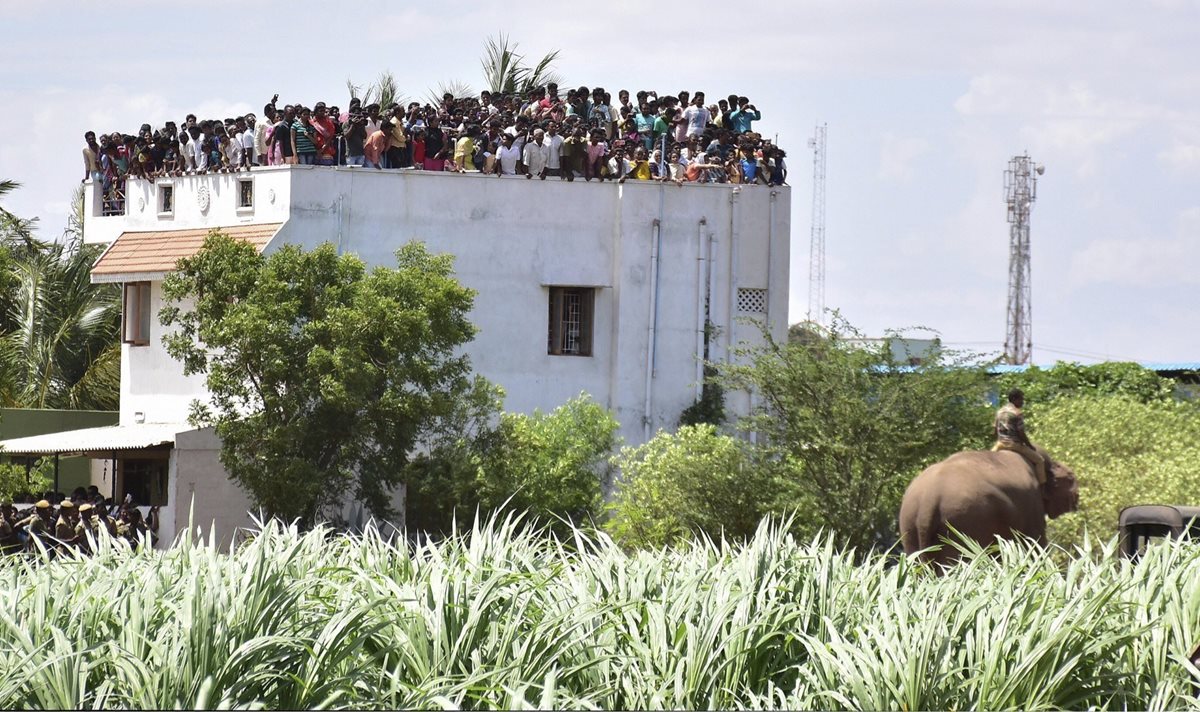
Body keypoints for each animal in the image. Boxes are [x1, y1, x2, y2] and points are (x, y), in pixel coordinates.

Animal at [898, 449, 1079, 566]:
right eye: (1071, 478)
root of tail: (928, 500)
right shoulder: (1032, 505)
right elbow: (1035, 545)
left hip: (910, 526)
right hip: (964, 522)